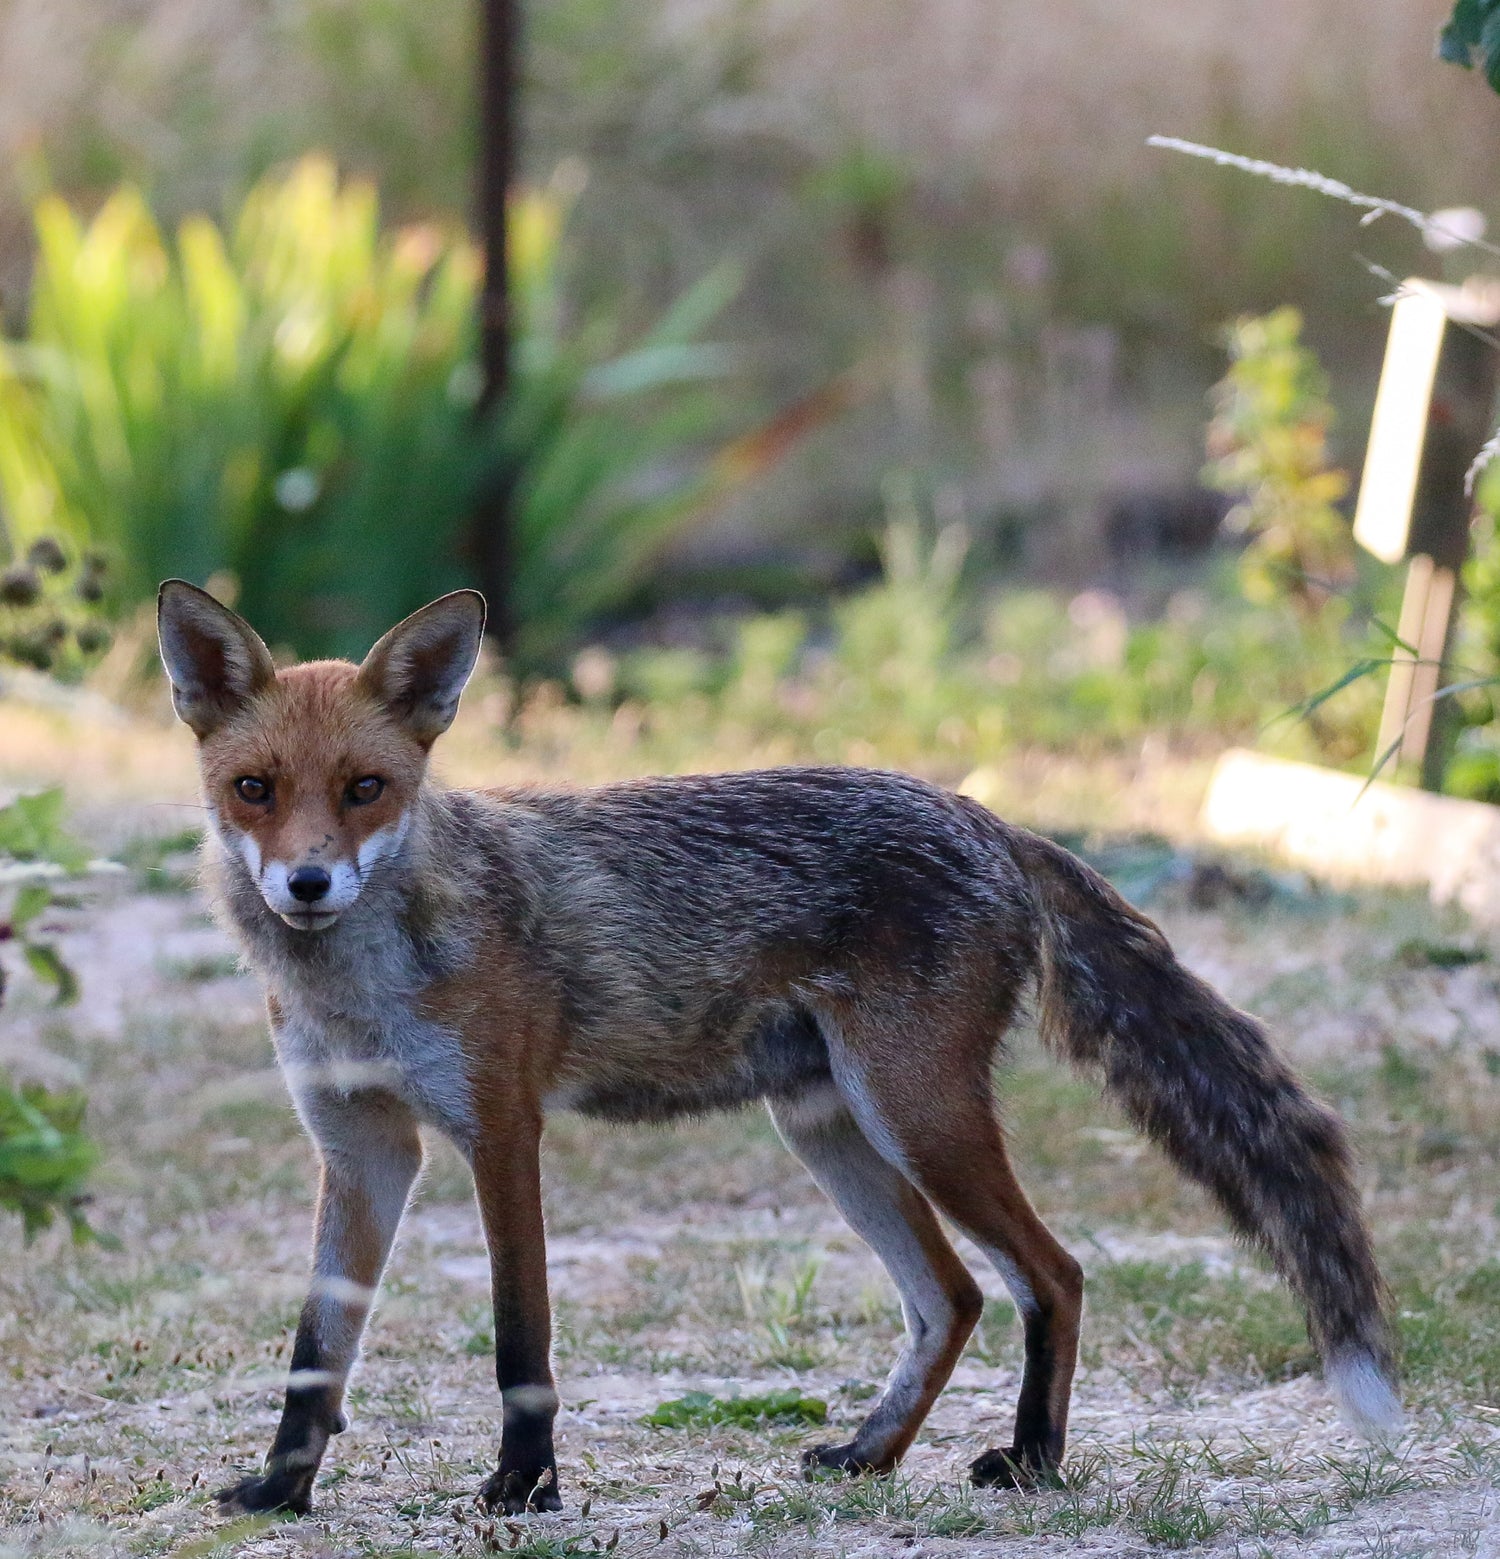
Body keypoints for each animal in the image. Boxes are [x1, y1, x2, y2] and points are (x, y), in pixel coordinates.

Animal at [155, 578, 1402, 1520]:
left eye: (365, 788)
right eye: (254, 789)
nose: (307, 883)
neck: (357, 989)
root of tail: (985, 815)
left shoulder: (501, 1131)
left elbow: (522, 1338)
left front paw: (526, 1487)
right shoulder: (362, 1148)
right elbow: (317, 1348)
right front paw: (281, 1488)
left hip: (916, 1114)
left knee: (1052, 1272)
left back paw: (1034, 1462)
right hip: (830, 1127)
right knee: (955, 1295)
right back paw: (869, 1453)